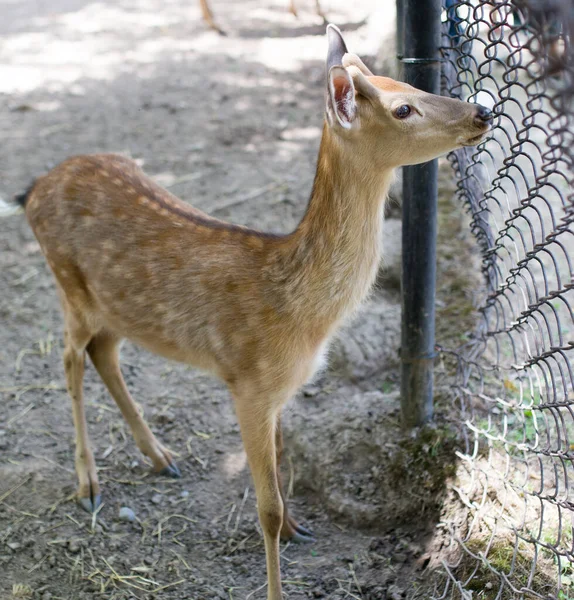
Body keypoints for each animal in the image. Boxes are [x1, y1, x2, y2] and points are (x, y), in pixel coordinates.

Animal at [16, 25, 496, 600]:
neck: (301, 316)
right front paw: (276, 576)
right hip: (69, 285)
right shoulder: (247, 384)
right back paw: (88, 483)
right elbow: (265, 507)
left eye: (408, 81)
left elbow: (283, 471)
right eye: (403, 108)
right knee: (69, 359)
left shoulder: (280, 391)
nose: (482, 112)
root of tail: (32, 190)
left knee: (103, 354)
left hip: (113, 307)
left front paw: (297, 527)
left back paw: (162, 458)